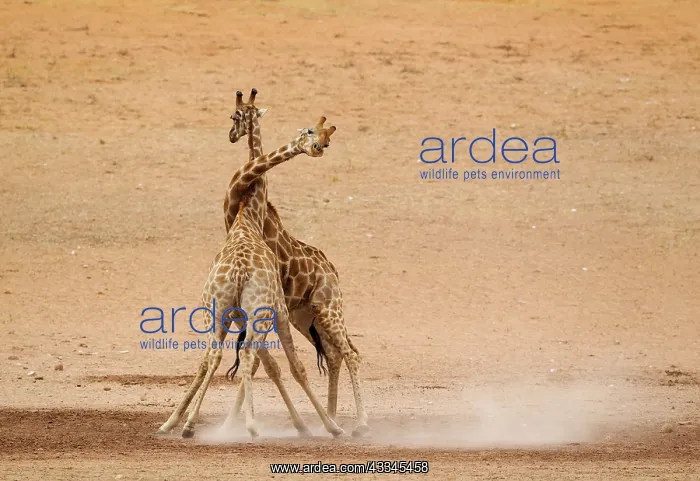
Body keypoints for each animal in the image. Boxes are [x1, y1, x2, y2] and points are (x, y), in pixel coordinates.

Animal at [222, 90, 369, 437]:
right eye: (308, 131)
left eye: (326, 138)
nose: (232, 135)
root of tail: (333, 270)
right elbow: (260, 362)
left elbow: (260, 362)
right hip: (308, 317)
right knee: (335, 355)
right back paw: (332, 416)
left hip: (330, 309)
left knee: (351, 354)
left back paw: (358, 424)